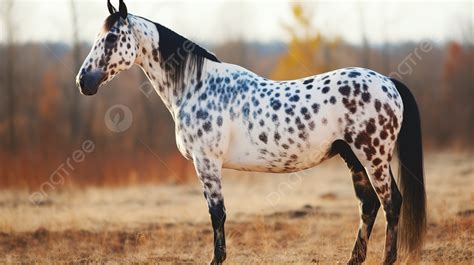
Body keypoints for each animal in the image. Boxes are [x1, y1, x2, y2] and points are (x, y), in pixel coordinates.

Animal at [77, 1, 426, 262]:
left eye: (112, 38)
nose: (84, 81)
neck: (196, 86)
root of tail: (389, 82)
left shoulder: (206, 163)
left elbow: (217, 215)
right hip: (352, 156)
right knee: (368, 205)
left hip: (373, 156)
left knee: (391, 202)